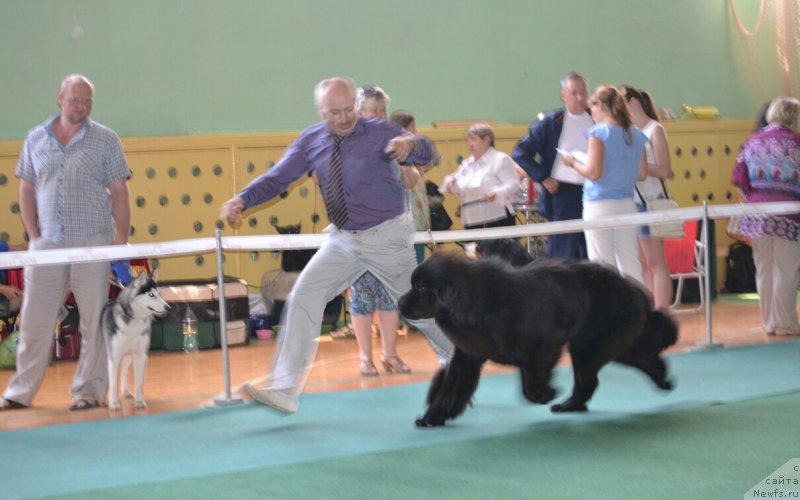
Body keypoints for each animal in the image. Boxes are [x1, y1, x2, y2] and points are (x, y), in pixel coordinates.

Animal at [102, 272, 170, 412]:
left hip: (128, 356)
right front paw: (113, 403)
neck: (134, 322)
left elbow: (139, 383)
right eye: (151, 295)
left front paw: (139, 402)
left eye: (159, 294)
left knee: (123, 371)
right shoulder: (114, 356)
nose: (168, 308)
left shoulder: (140, 356)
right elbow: (112, 381)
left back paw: (125, 391)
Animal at [396, 252, 680, 428]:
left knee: (598, 375)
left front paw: (547, 394)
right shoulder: (468, 356)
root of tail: (630, 287)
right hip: (599, 346)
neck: (475, 303)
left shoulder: (545, 343)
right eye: (413, 284)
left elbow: (529, 384)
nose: (399, 303)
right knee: (627, 363)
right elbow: (450, 388)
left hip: (591, 346)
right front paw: (433, 417)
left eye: (421, 288)